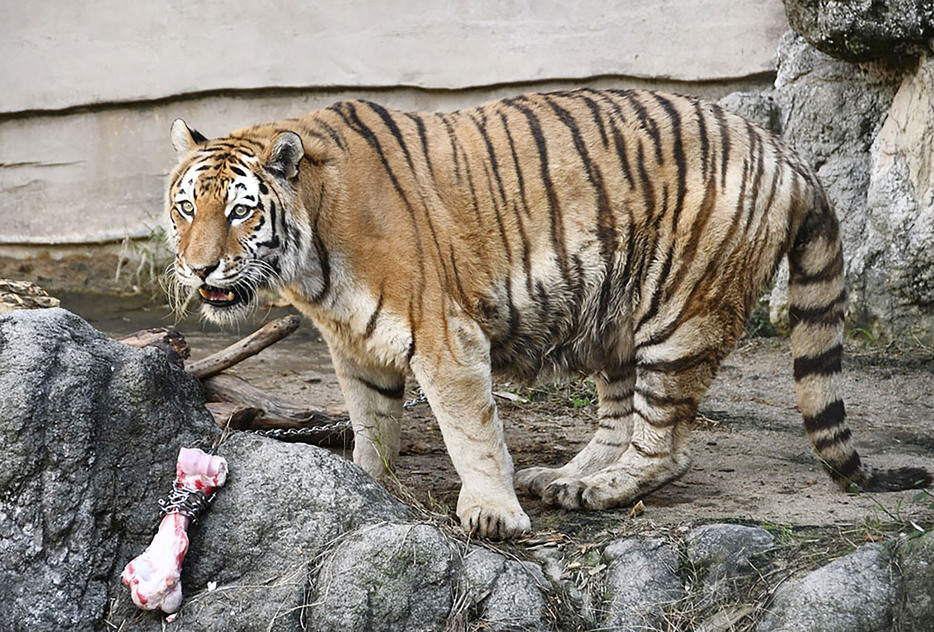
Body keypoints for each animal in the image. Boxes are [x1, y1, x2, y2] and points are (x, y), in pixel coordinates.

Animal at [166, 89, 928, 540]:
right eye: (185, 208)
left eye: (239, 212)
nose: (198, 268)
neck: (314, 263)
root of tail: (784, 151)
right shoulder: (356, 346)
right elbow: (372, 421)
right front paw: (368, 485)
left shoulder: (445, 337)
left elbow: (468, 430)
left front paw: (491, 512)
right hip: (617, 314)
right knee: (619, 418)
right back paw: (565, 477)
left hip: (681, 316)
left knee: (667, 445)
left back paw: (598, 491)